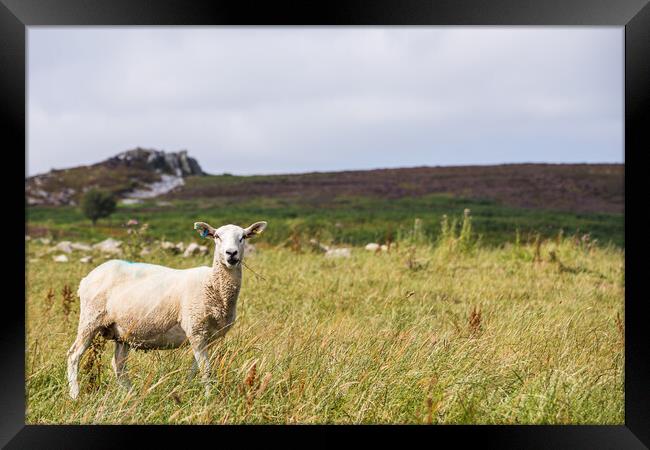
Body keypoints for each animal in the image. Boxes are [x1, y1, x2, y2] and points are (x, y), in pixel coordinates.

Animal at [66, 220, 266, 400]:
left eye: (243, 237)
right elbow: (206, 370)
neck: (213, 284)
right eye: (217, 236)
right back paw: (75, 396)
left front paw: (187, 390)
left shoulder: (206, 336)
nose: (231, 254)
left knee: (118, 367)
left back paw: (133, 397)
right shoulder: (196, 329)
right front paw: (209, 400)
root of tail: (87, 278)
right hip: (90, 319)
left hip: (122, 331)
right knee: (74, 355)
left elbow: (195, 369)